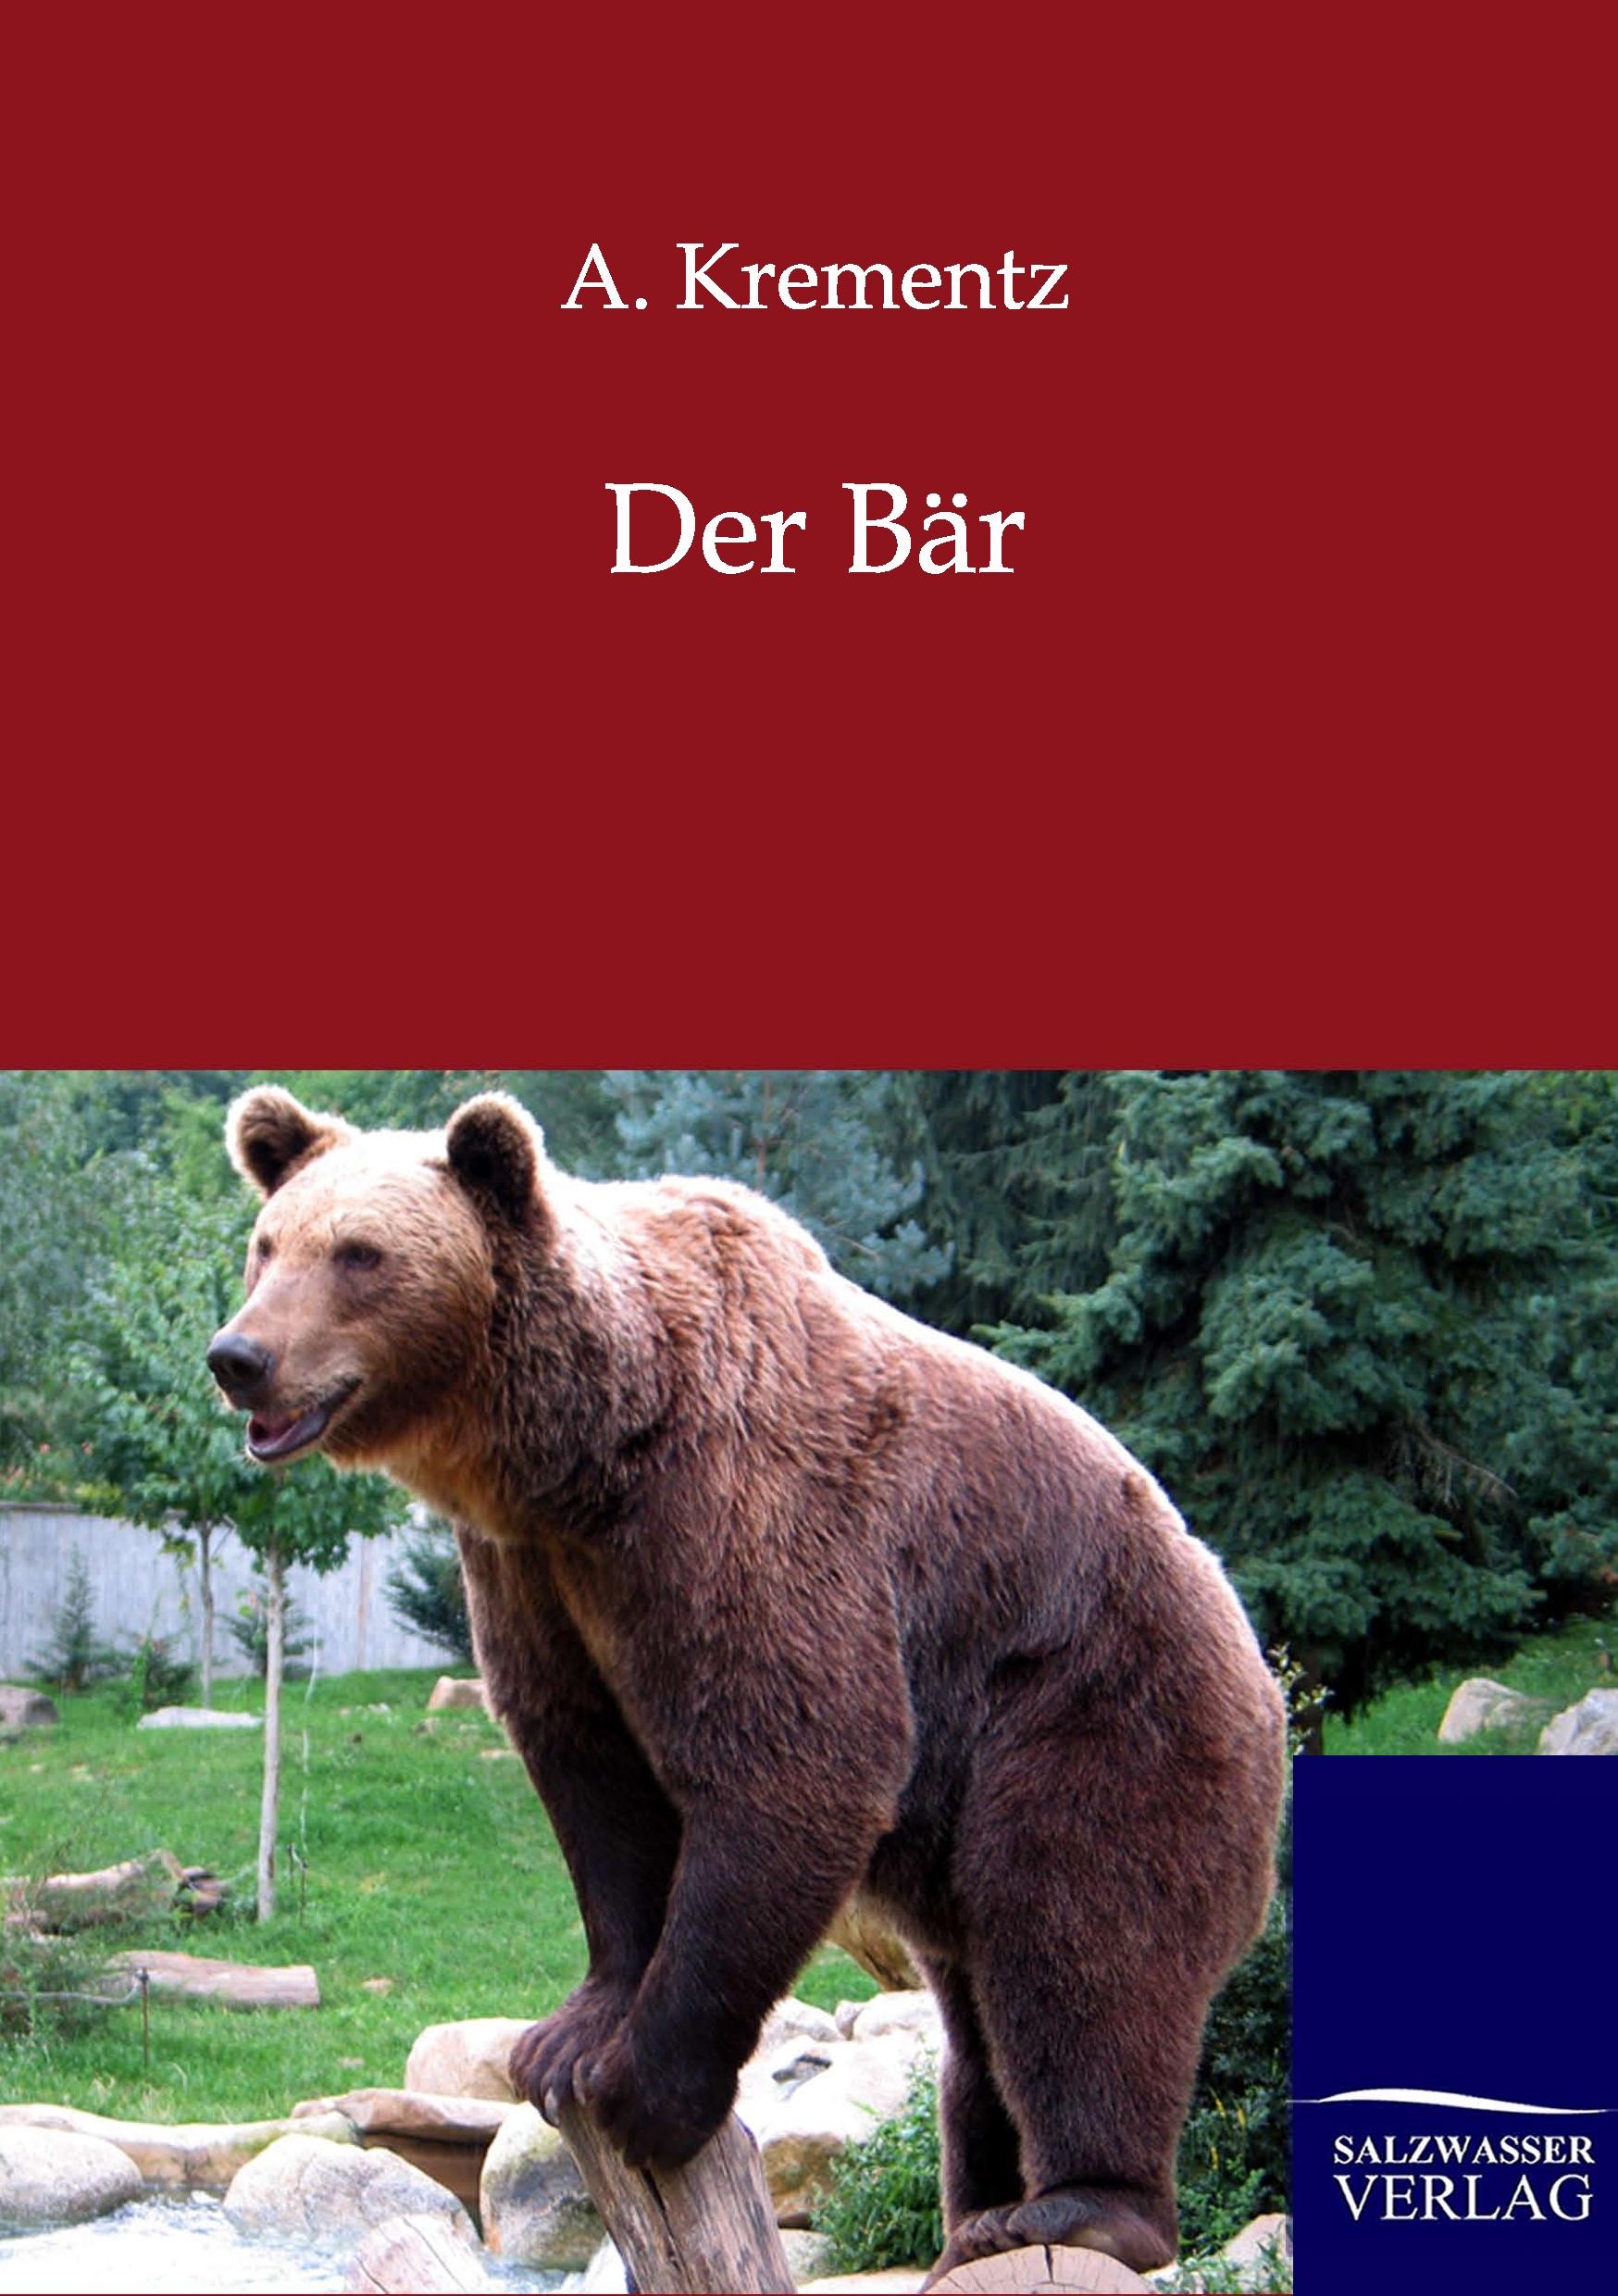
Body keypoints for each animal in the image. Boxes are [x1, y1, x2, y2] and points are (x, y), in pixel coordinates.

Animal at [207, 1085, 1286, 2280]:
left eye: (360, 1253)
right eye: (268, 1243)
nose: (239, 1353)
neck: (582, 1446)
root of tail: (1255, 1659)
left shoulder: (738, 1509)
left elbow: (795, 1756)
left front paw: (644, 2085)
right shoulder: (536, 1572)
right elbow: (593, 1776)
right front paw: (567, 2035)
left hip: (1094, 1704)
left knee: (1077, 1936)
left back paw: (1075, 2207)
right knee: (974, 2005)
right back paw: (977, 2211)